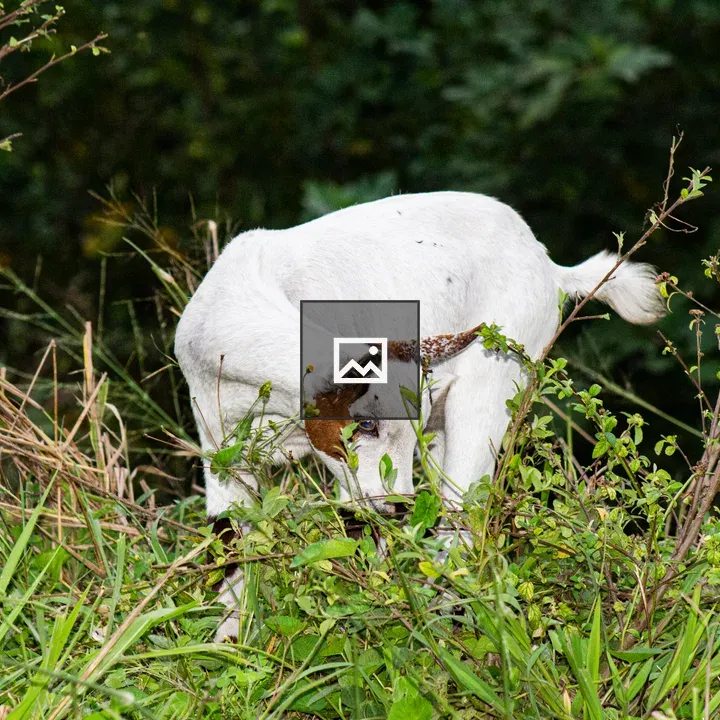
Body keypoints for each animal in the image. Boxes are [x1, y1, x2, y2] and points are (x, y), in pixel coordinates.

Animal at [174, 191, 664, 640]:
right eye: (366, 423)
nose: (400, 505)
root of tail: (547, 262)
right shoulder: (220, 447)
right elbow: (233, 543)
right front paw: (228, 641)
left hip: (491, 383)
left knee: (461, 514)